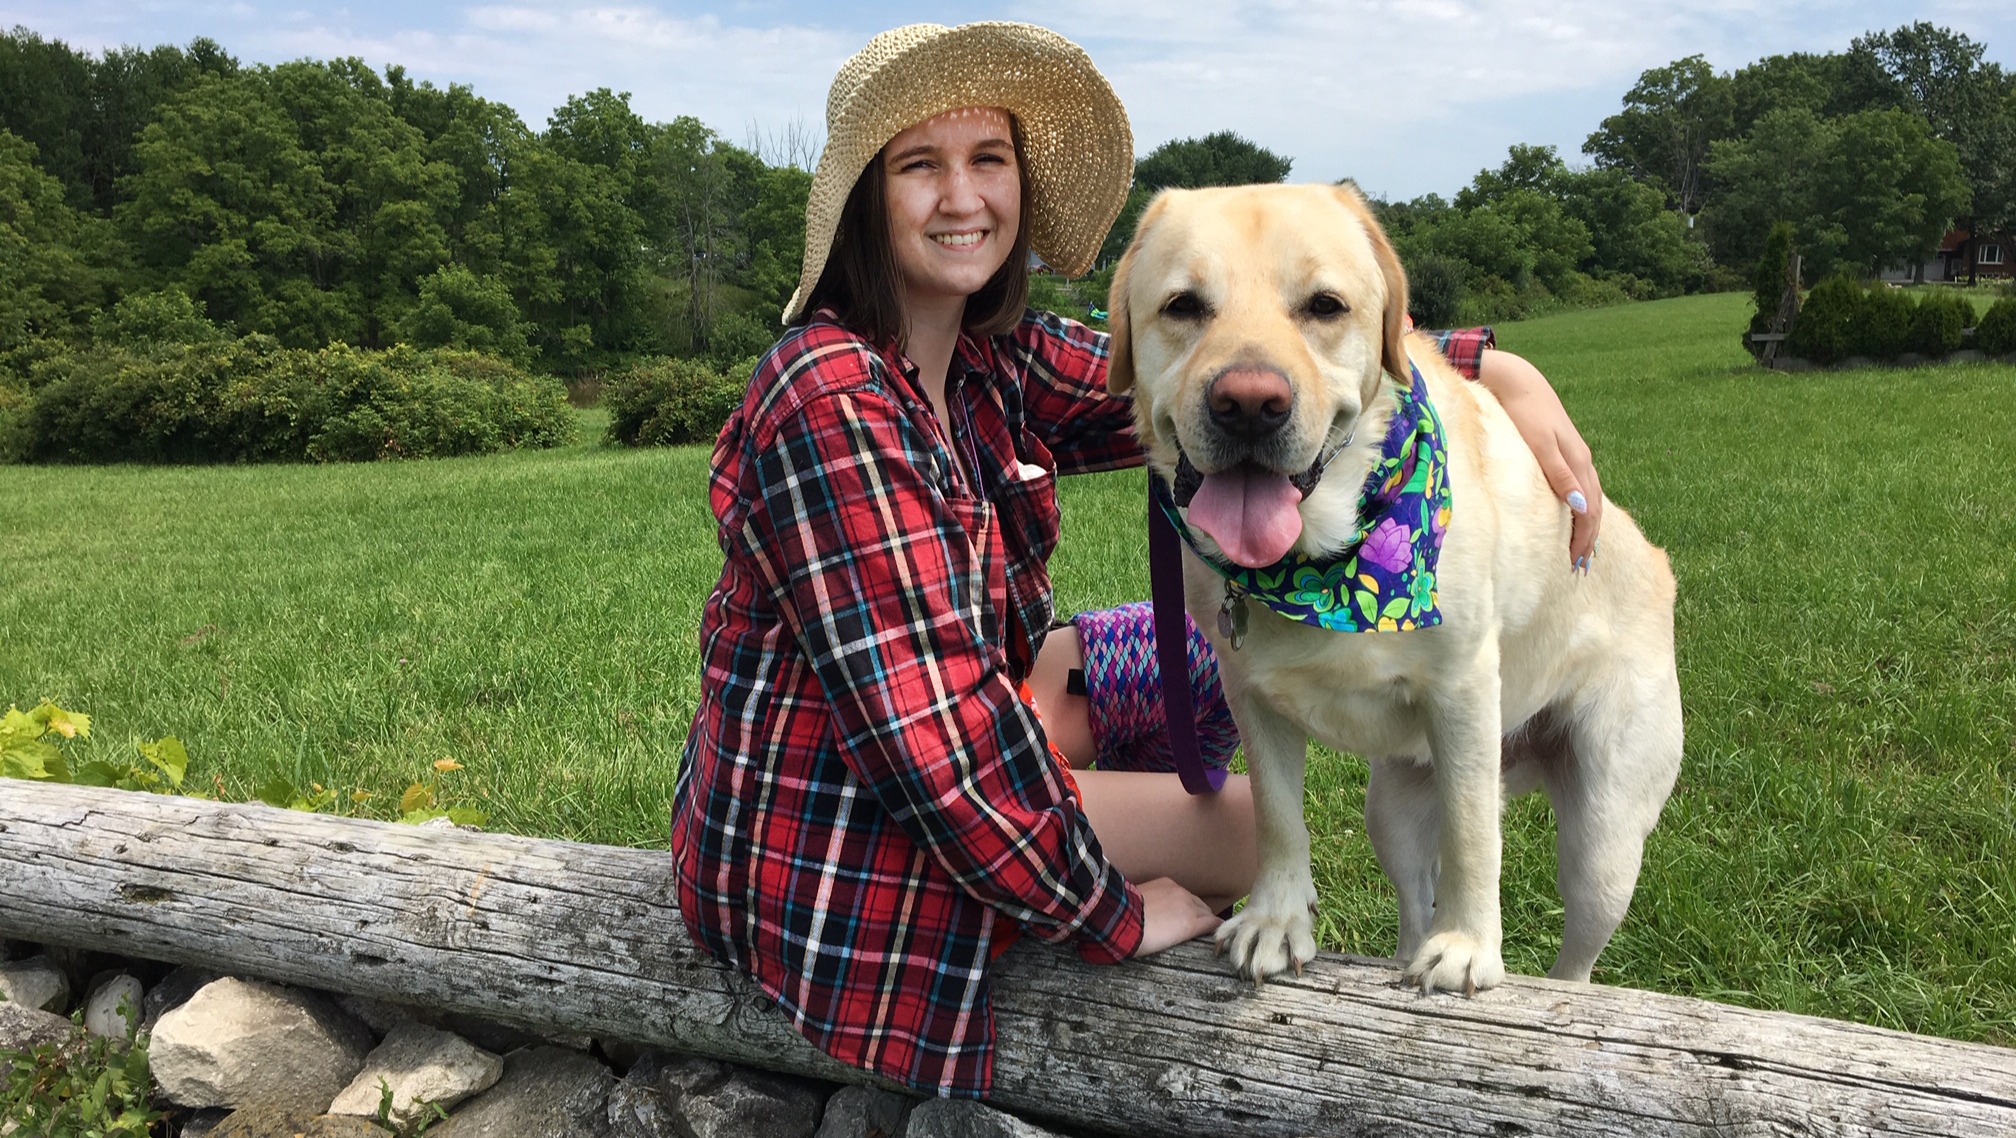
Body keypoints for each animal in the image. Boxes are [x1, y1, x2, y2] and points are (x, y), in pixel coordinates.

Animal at [1106, 183, 1682, 994]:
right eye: (1183, 305)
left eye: (1325, 305)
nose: (1249, 403)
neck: (1322, 566)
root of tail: (1660, 567)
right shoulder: (1250, 692)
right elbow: (1276, 814)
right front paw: (1275, 921)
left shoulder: (1464, 690)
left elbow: (1473, 835)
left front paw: (1469, 944)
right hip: (1392, 807)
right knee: (1413, 905)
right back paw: (1409, 955)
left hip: (1603, 837)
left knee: (1577, 959)